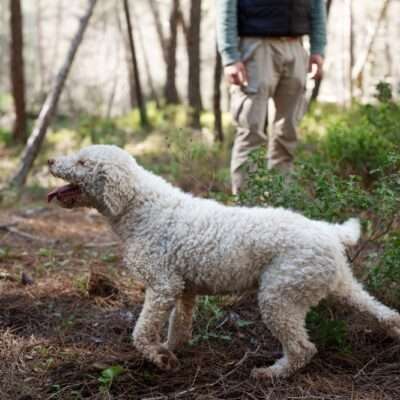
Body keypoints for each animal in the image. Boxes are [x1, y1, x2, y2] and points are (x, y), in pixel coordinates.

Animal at [48, 144, 400, 378]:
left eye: (82, 161)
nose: (50, 159)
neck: (141, 207)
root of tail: (329, 232)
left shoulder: (162, 285)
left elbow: (141, 333)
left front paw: (160, 359)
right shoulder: (184, 290)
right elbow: (179, 327)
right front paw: (170, 350)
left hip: (278, 296)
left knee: (303, 349)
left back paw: (271, 373)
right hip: (339, 284)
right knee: (382, 311)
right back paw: (394, 333)